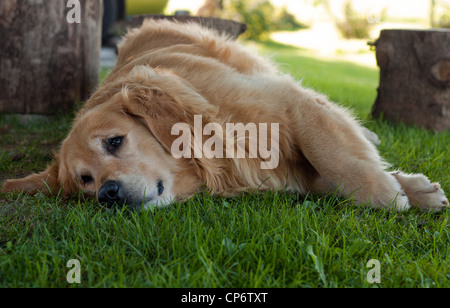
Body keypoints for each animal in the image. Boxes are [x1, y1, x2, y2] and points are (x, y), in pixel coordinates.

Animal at [1, 19, 448, 212]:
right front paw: (412, 189)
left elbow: (336, 158)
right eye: (85, 181)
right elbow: (327, 176)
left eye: (115, 141)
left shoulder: (289, 104)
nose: (107, 195)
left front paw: (390, 193)